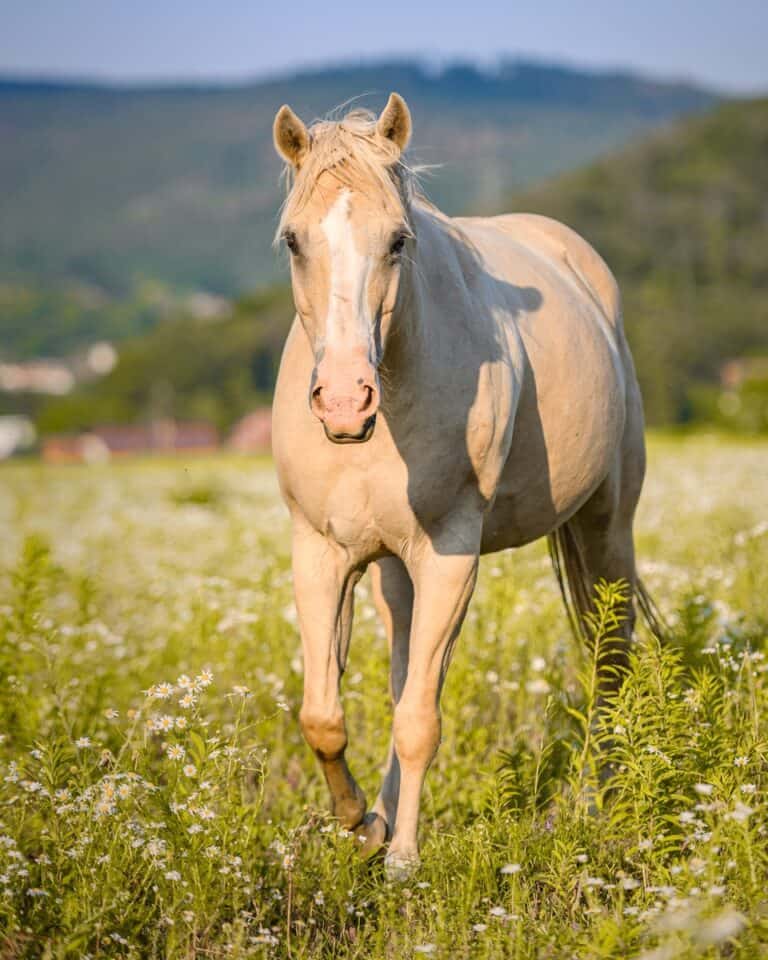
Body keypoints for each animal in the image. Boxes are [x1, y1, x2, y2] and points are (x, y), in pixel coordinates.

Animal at [271, 93, 654, 878]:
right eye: (293, 241)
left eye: (398, 240)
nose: (344, 402)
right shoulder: (321, 553)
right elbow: (325, 716)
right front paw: (363, 827)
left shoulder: (449, 555)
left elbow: (420, 719)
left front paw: (403, 860)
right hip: (393, 571)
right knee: (401, 672)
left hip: (606, 527)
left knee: (609, 658)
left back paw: (602, 806)